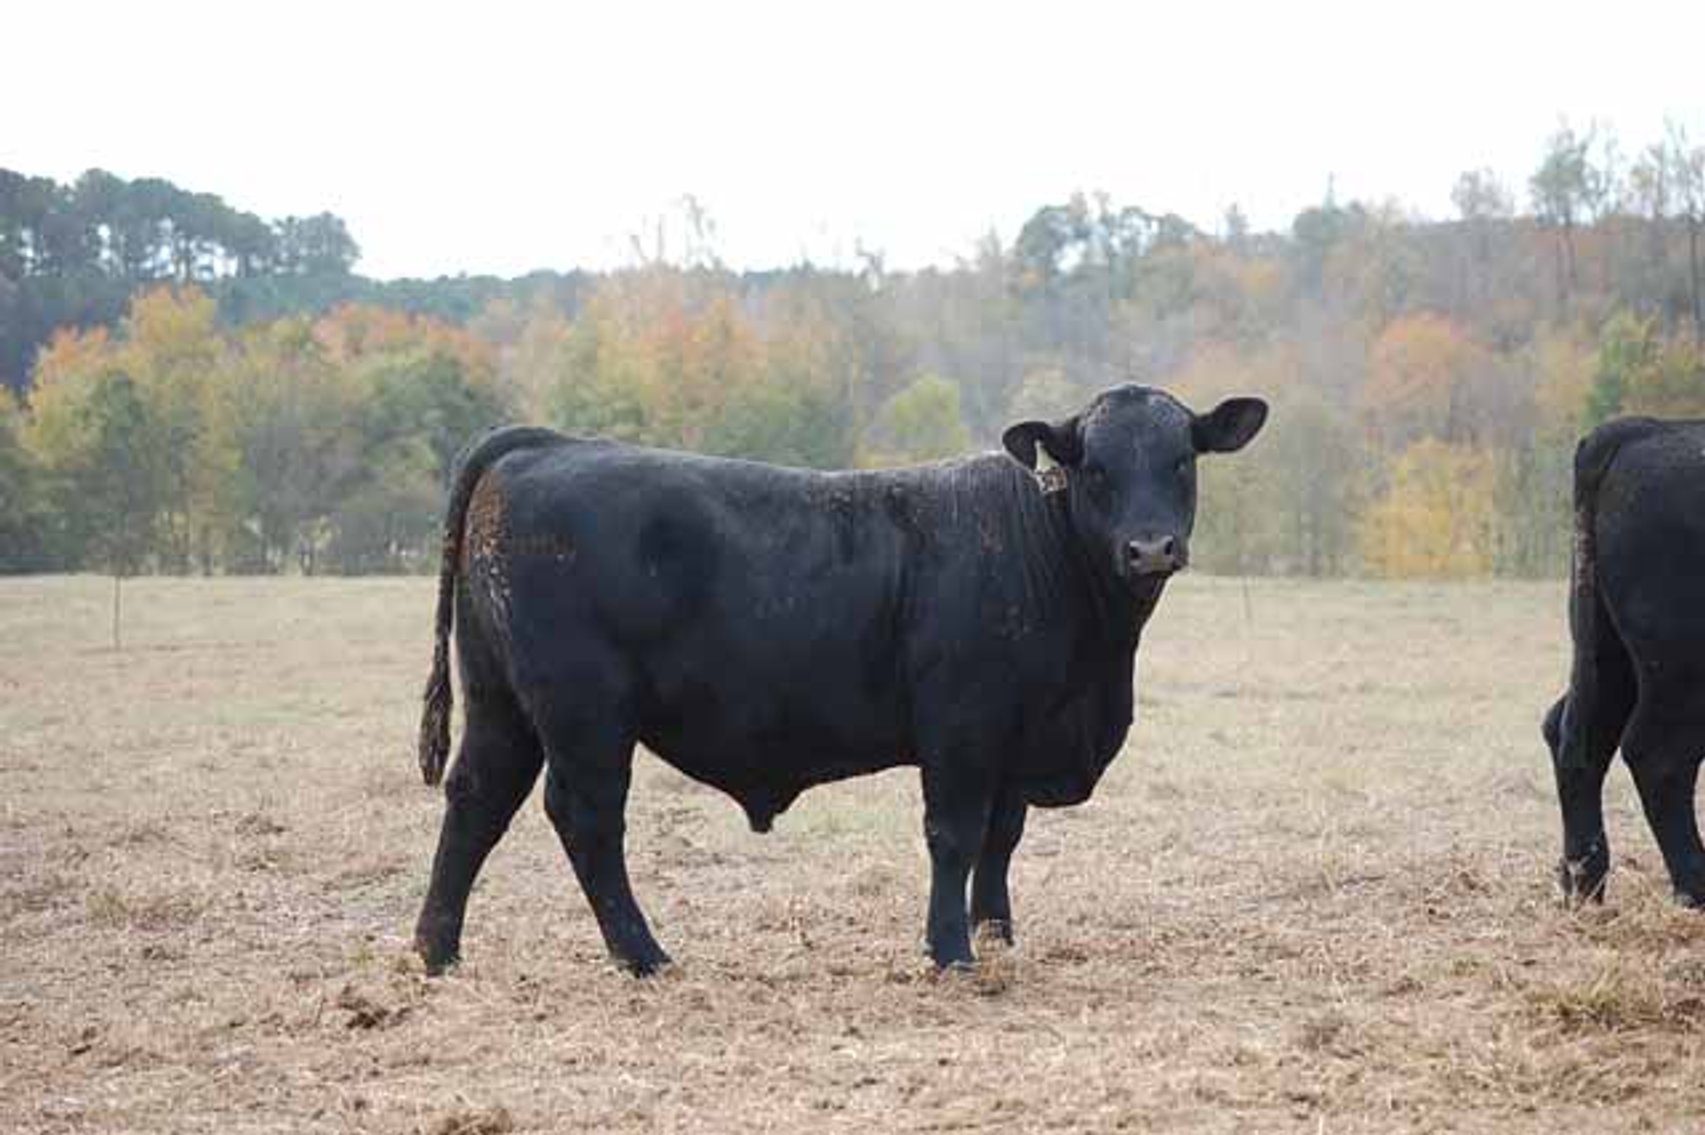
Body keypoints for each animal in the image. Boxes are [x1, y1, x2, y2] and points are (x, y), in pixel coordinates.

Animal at [412, 384, 1268, 975]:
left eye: (1181, 460)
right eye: (1093, 467)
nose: (1149, 547)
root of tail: (548, 445)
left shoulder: (1015, 737)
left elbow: (1001, 839)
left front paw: (996, 933)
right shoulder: (961, 725)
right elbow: (954, 835)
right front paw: (950, 951)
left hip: (502, 700)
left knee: (477, 797)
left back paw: (436, 949)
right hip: (585, 711)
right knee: (585, 817)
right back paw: (644, 954)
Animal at [1544, 416, 1705, 908]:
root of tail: (1642, 428)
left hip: (1608, 653)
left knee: (1577, 735)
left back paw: (1584, 882)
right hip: (1680, 671)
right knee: (1659, 756)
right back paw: (1696, 889)